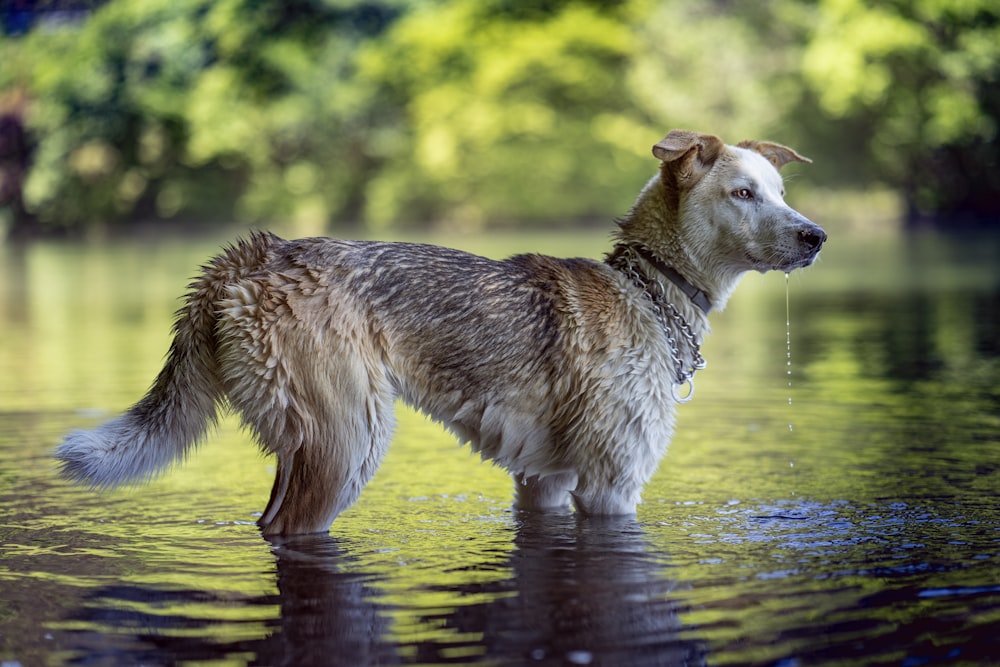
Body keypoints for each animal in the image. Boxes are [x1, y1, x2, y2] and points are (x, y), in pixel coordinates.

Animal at [54, 132, 824, 536]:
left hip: (308, 444)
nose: (816, 236)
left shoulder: (544, 482)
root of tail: (256, 254)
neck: (648, 286)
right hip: (348, 441)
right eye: (743, 193)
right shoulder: (612, 486)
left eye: (780, 192)